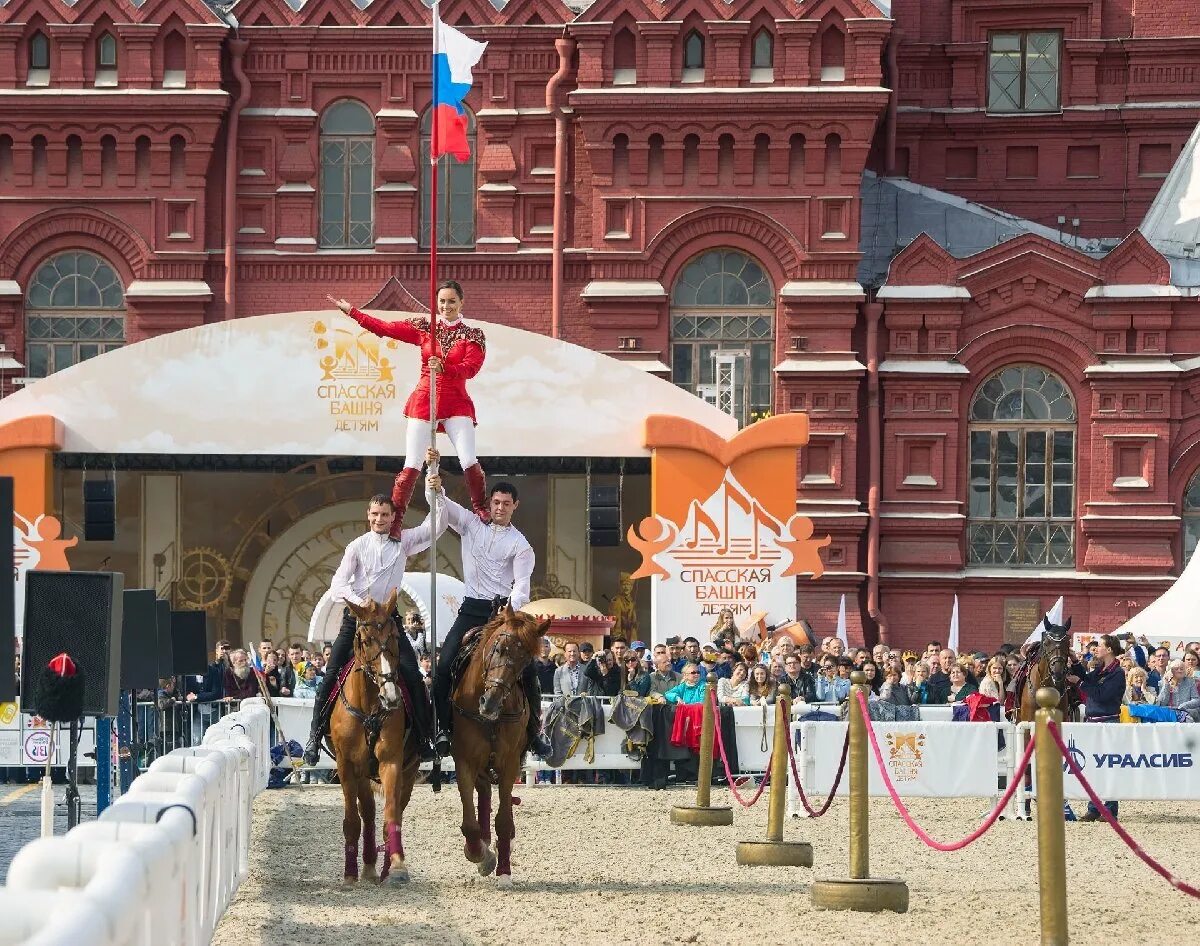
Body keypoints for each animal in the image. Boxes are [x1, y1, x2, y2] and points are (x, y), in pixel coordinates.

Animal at [331, 590, 420, 888]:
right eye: (366, 640)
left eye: (394, 638)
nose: (391, 697)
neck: (369, 706)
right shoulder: (347, 766)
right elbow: (351, 819)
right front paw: (349, 874)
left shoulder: (391, 762)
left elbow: (391, 815)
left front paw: (398, 866)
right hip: (360, 773)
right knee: (366, 812)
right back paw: (367, 866)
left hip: (407, 772)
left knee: (386, 814)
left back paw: (380, 869)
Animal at [451, 605, 549, 888]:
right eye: (498, 648)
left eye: (525, 661)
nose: (491, 702)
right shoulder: (464, 761)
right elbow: (469, 822)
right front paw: (479, 854)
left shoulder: (509, 763)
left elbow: (504, 821)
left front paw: (503, 870)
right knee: (483, 795)